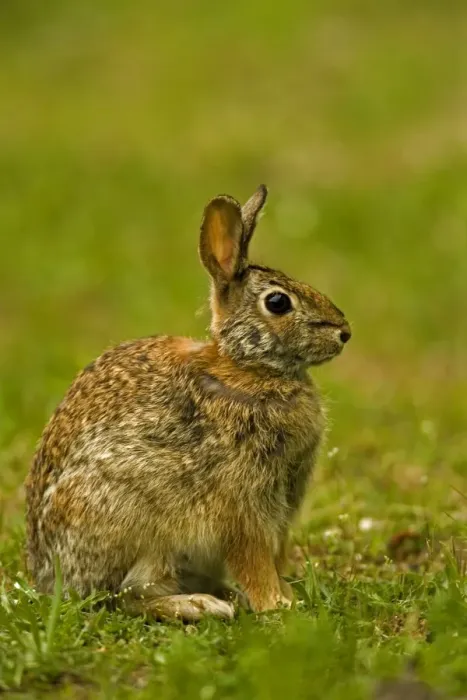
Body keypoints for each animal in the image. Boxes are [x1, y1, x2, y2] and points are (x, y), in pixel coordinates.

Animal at [25, 185, 351, 622]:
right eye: (278, 303)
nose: (344, 331)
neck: (247, 367)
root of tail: (49, 579)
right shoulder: (241, 499)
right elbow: (252, 556)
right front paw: (278, 604)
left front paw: (285, 595)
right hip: (138, 527)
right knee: (129, 596)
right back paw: (201, 605)